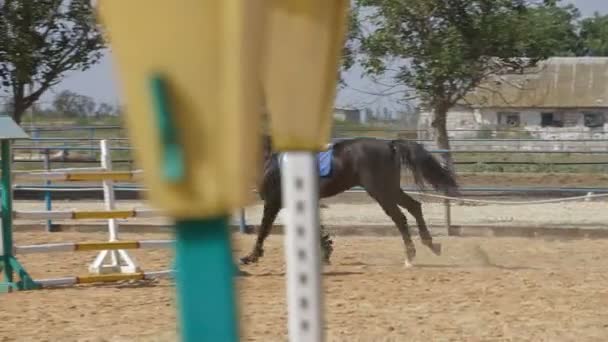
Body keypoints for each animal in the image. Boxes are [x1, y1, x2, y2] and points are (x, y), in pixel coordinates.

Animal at [240, 136, 458, 268]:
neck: (269, 159)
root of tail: (390, 144)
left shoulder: (273, 202)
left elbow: (263, 229)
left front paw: (251, 256)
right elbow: (316, 229)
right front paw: (326, 253)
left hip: (380, 191)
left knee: (400, 217)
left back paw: (410, 256)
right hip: (390, 189)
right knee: (414, 206)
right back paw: (431, 245)